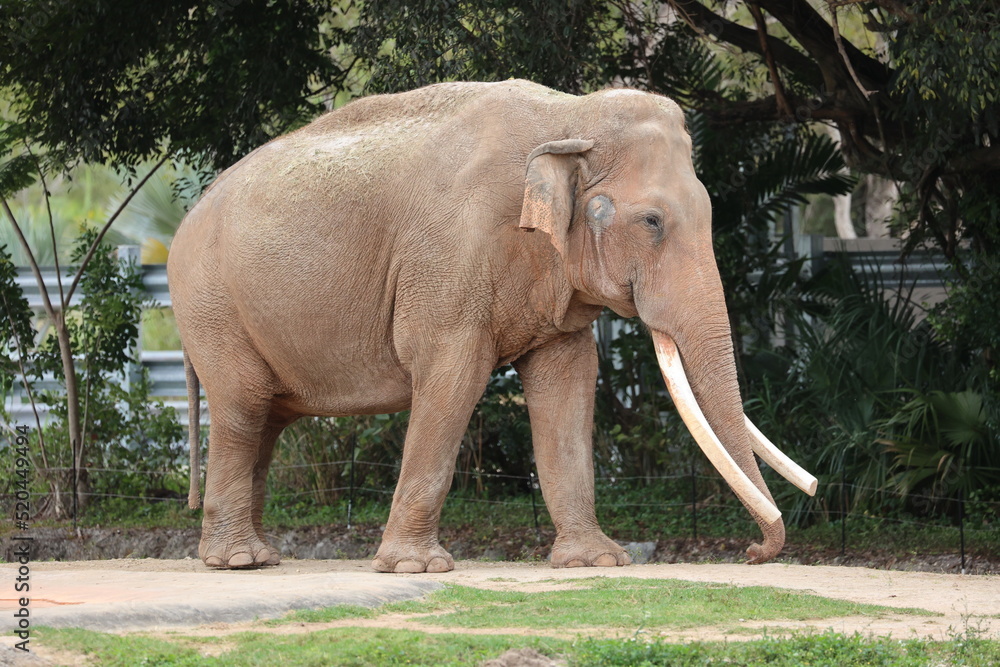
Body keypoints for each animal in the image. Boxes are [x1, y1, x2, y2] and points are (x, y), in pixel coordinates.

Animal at [167, 80, 816, 573]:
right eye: (653, 221)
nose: (753, 552)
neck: (569, 115)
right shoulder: (447, 262)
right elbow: (452, 379)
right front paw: (416, 568)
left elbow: (569, 383)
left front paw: (596, 561)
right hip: (210, 305)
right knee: (244, 407)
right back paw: (239, 561)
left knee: (268, 419)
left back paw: (260, 556)